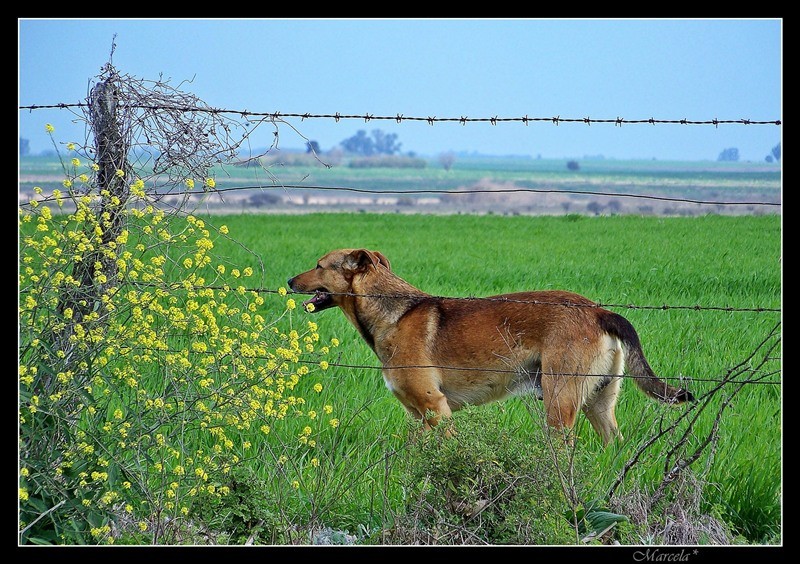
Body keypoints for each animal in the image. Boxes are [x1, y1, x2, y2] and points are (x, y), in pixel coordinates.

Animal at [288, 249, 692, 442]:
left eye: (319, 265)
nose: (290, 280)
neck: (392, 312)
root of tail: (598, 311)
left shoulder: (436, 409)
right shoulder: (419, 416)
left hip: (559, 401)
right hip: (599, 403)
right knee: (615, 444)